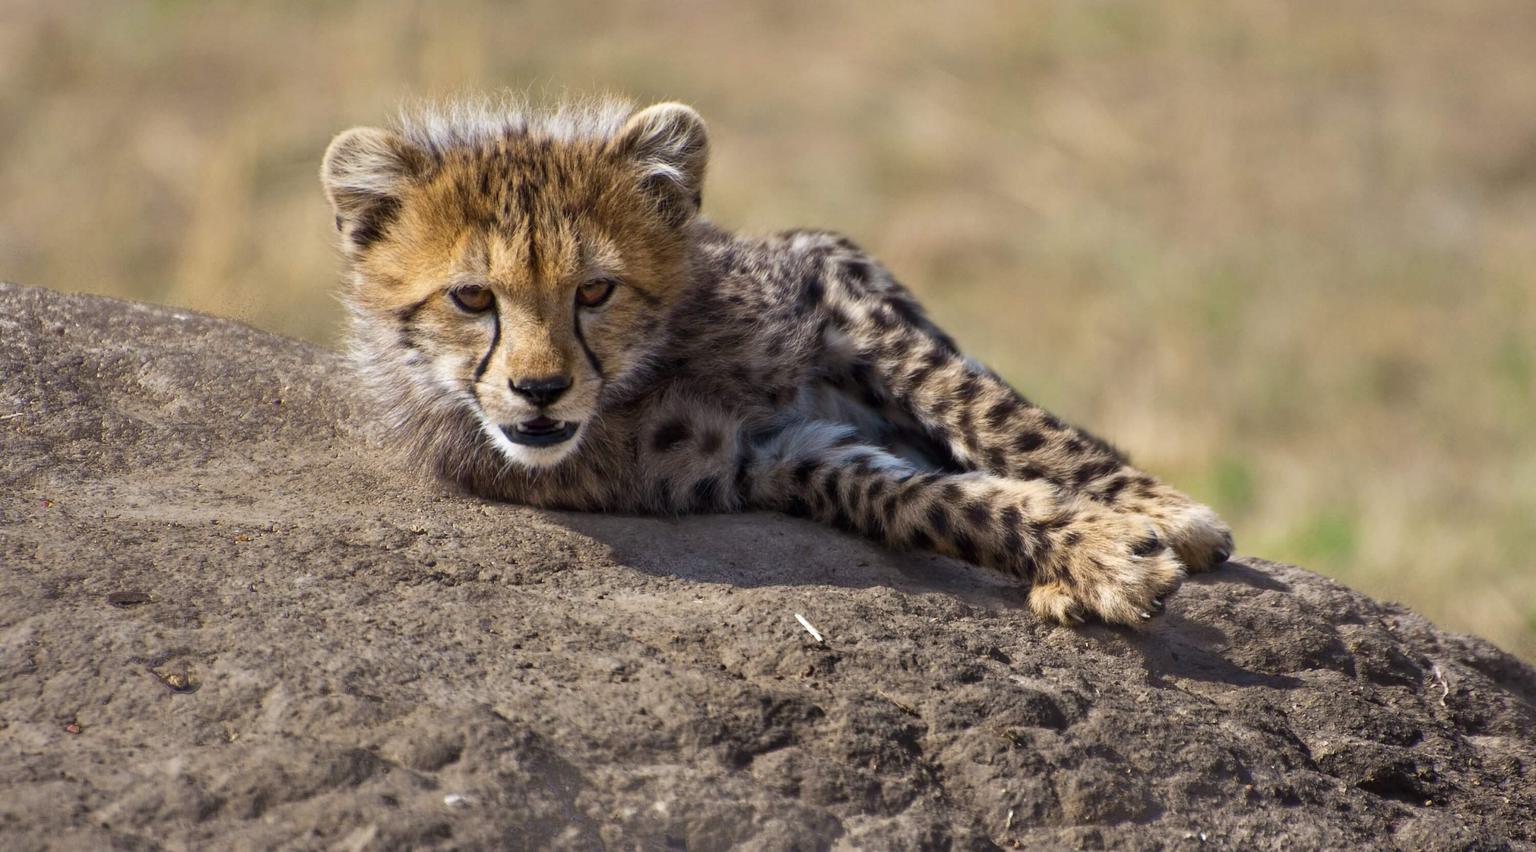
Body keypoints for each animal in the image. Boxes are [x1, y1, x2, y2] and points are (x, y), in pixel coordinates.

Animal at [320, 97, 1234, 626]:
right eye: (473, 298)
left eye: (596, 290)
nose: (540, 390)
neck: (652, 369)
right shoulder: (760, 460)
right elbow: (931, 501)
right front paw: (1095, 554)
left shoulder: (835, 304)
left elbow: (995, 414)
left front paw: (1162, 512)